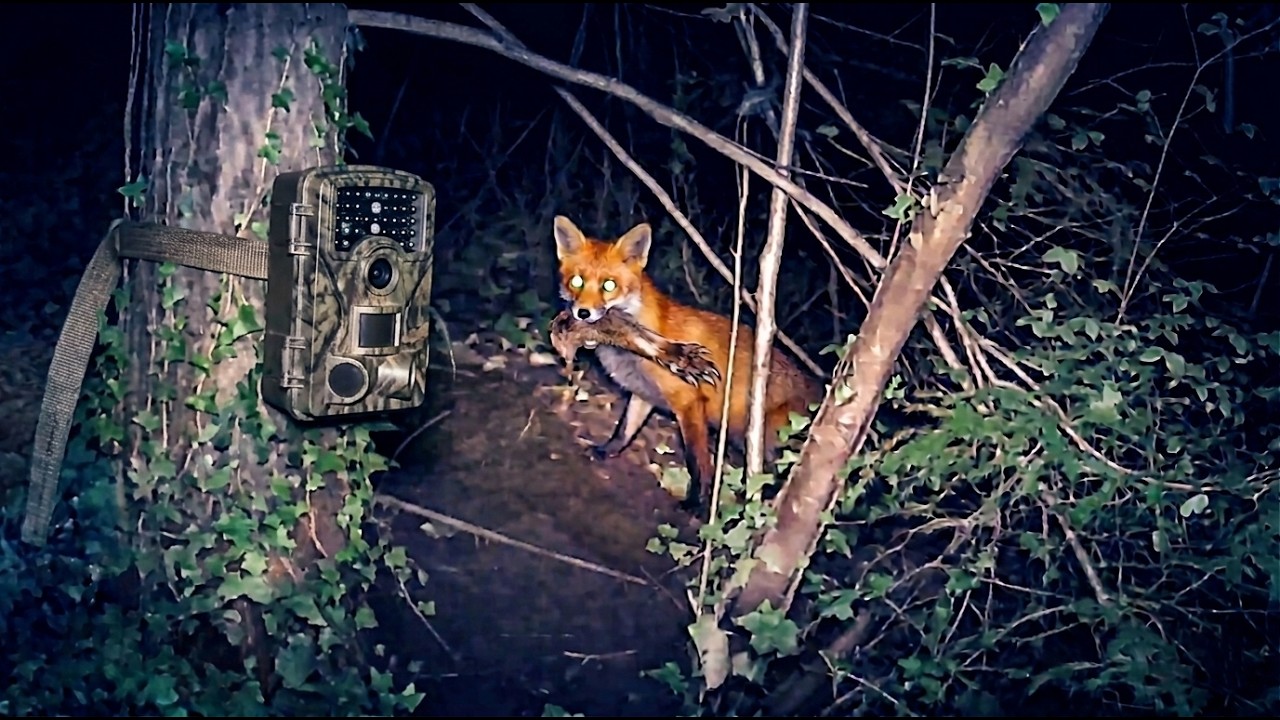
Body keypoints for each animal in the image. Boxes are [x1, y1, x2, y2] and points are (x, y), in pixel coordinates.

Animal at [553, 215, 824, 513]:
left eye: (608, 285)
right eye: (577, 281)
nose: (583, 313)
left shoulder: (689, 402)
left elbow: (697, 461)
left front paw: (696, 501)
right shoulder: (642, 395)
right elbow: (623, 431)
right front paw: (606, 450)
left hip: (757, 435)